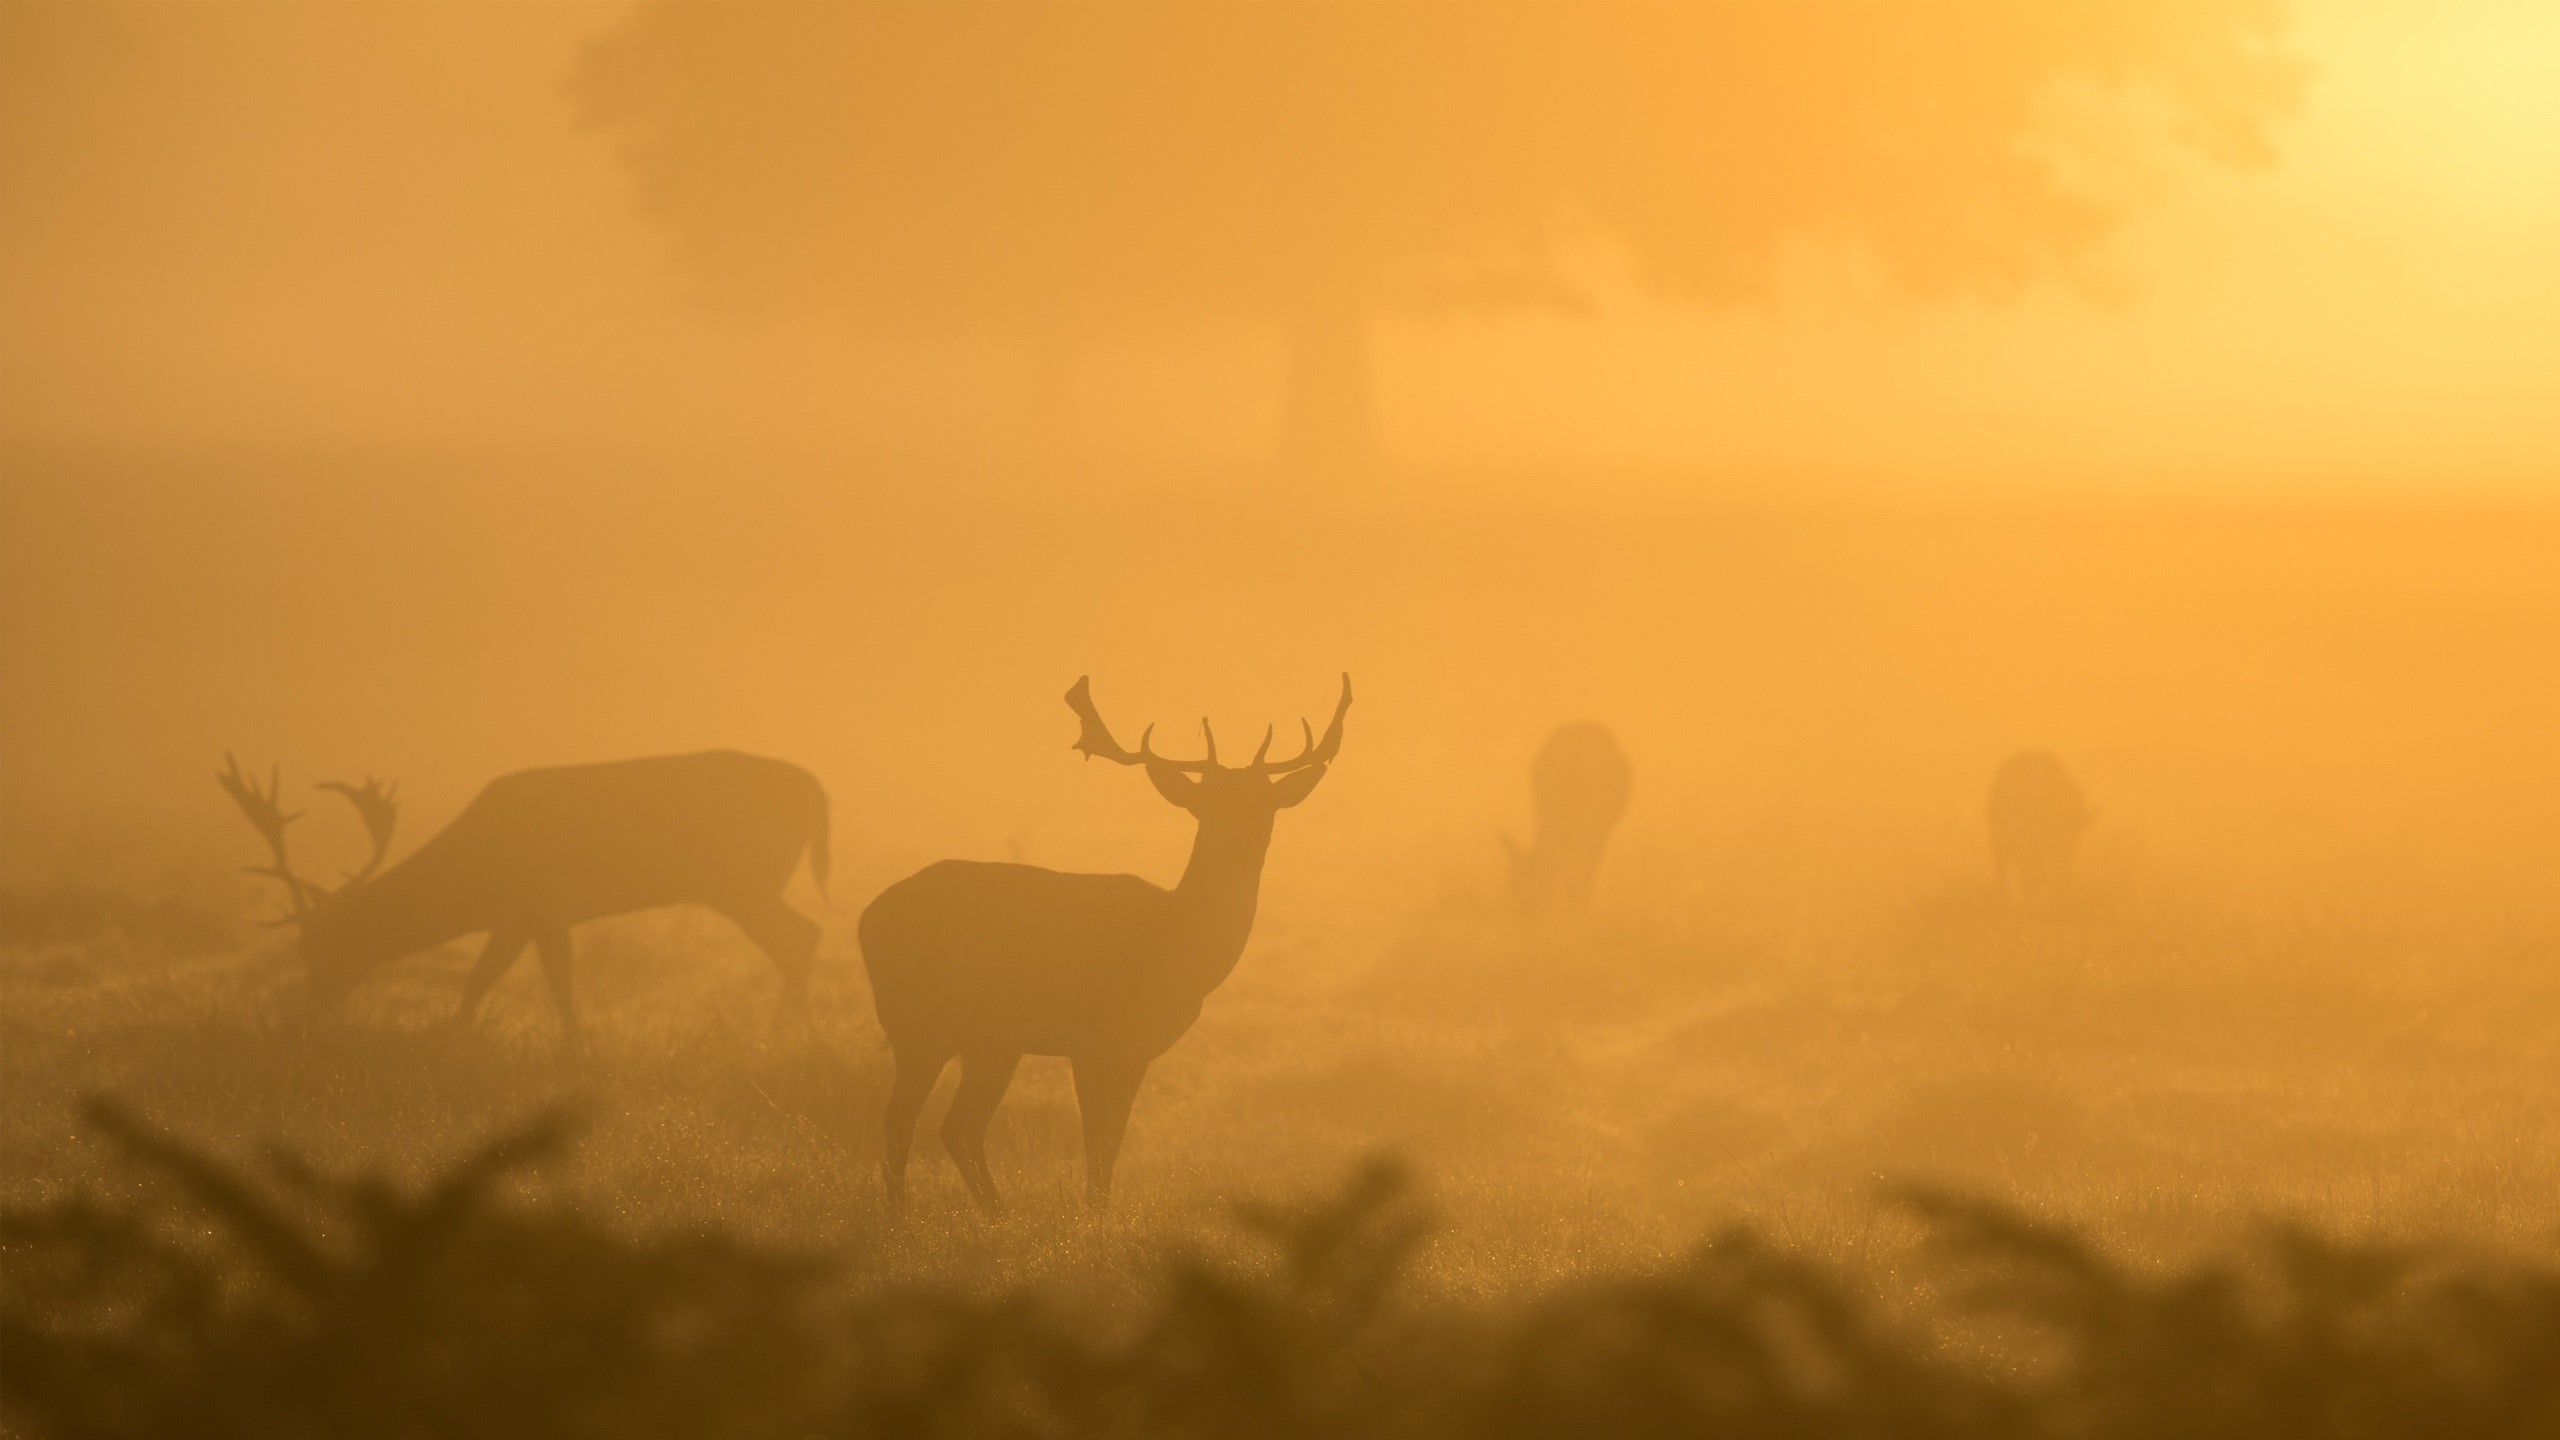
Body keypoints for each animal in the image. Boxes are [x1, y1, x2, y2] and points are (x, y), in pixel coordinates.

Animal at [218, 751, 829, 1044]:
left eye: (322, 943)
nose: (302, 1016)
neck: (476, 878)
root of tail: (816, 787)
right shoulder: (514, 918)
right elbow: (480, 980)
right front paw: (451, 1034)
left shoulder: (544, 904)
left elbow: (556, 984)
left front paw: (575, 1049)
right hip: (746, 884)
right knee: (802, 935)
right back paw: (791, 1030)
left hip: (743, 881)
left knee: (800, 935)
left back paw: (781, 1033)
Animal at [858, 674, 1351, 1213]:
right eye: (1207, 803)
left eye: (1266, 803)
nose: (1244, 837)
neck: (1174, 948)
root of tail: (867, 917)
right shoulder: (1091, 1038)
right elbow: (1096, 1142)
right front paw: (1092, 1216)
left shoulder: (1136, 1051)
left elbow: (1112, 1144)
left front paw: (1100, 1212)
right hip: (917, 1021)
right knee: (901, 1120)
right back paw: (900, 1213)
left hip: (989, 1040)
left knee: (958, 1126)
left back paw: (997, 1214)